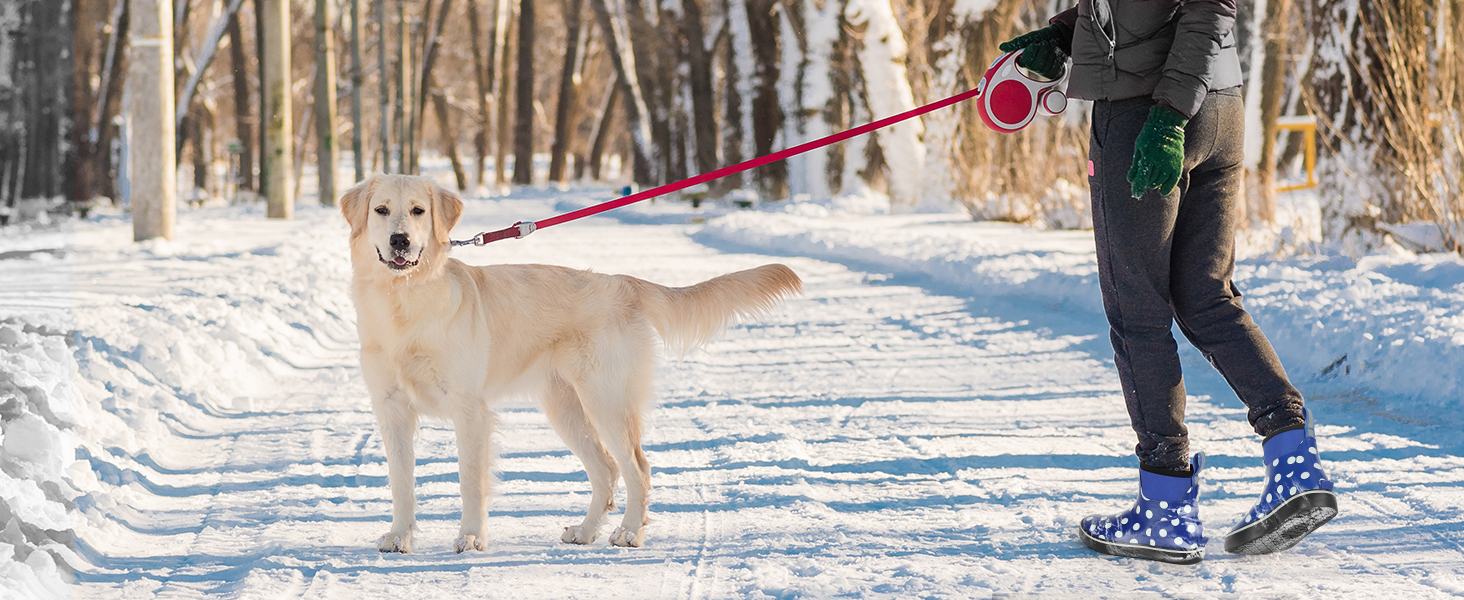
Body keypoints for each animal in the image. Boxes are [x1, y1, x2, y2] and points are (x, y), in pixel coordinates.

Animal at [338, 174, 802, 553]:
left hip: (606, 401)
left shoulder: (469, 409)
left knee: (637, 468)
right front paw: (400, 536)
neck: (404, 301)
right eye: (381, 210)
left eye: (418, 211)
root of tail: (624, 284)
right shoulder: (391, 408)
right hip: (565, 407)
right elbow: (401, 482)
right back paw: (586, 530)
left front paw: (470, 537)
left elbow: (470, 479)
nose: (400, 240)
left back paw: (629, 532)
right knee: (607, 469)